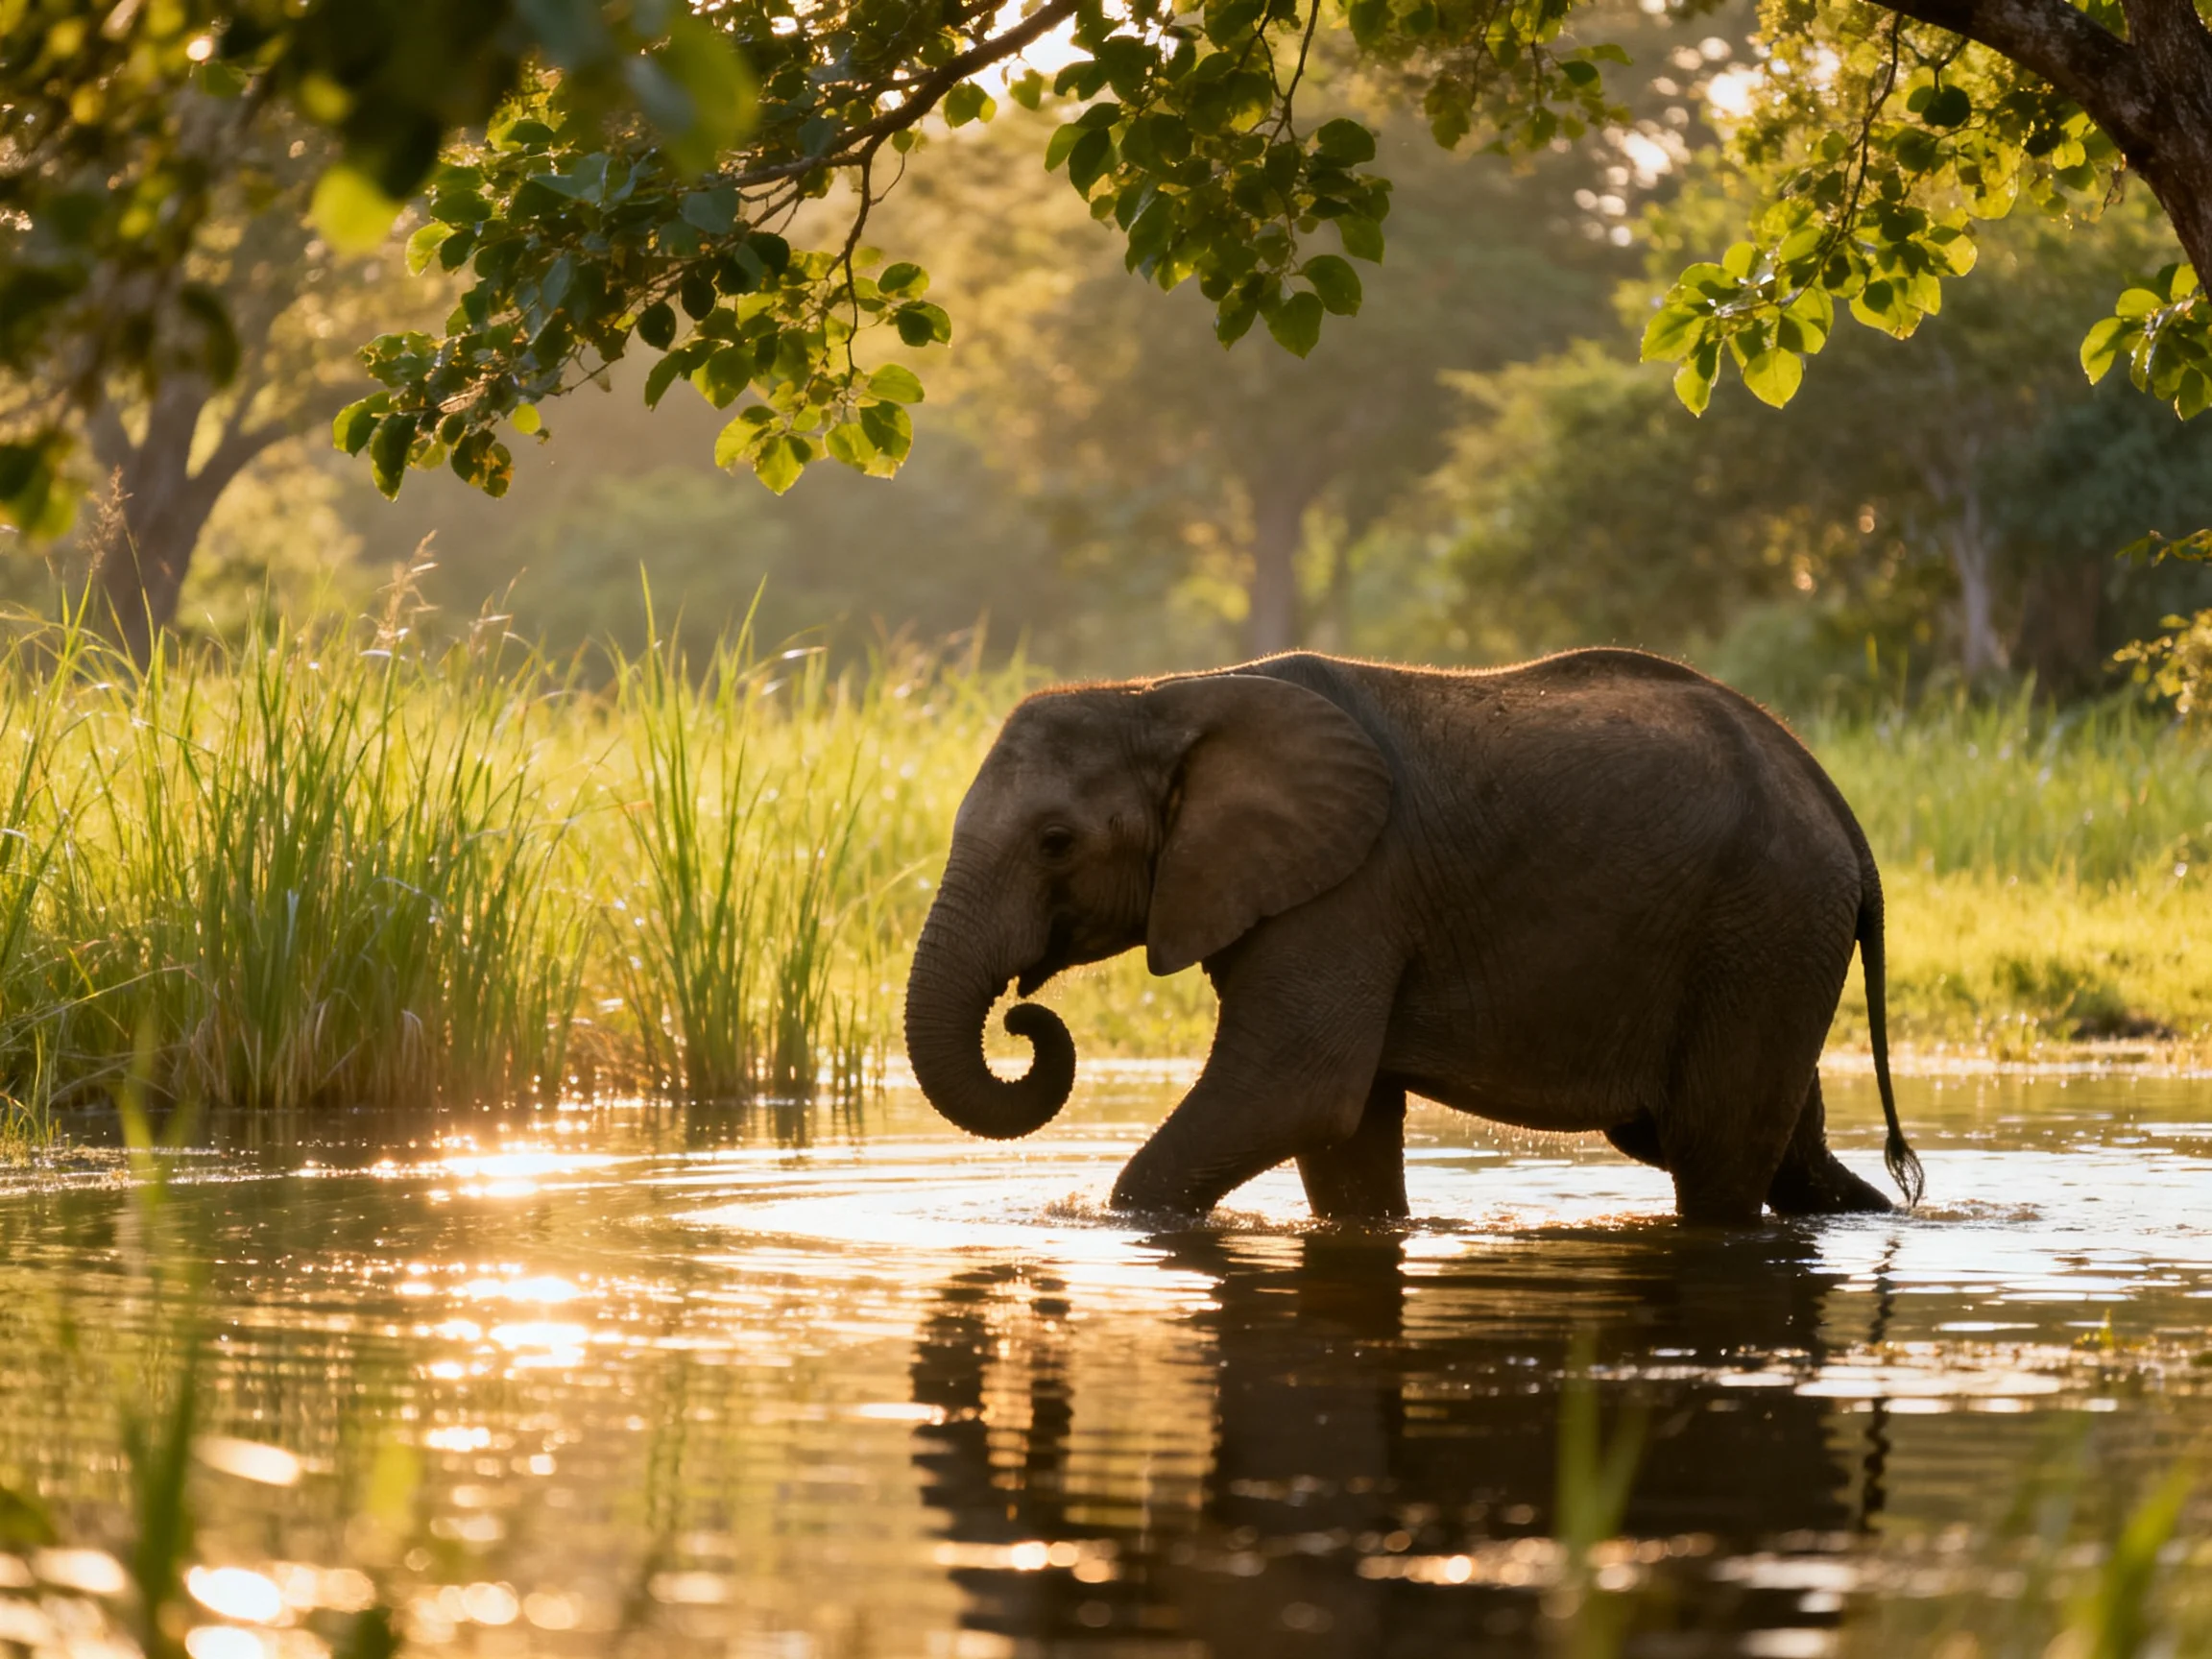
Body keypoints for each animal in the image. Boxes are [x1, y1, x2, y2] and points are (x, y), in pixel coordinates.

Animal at [902, 648, 1922, 1225]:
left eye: (1055, 842)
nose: (1024, 1020)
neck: (1165, 695)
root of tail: (1840, 809)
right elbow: (1343, 1133)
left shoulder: (1354, 887)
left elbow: (1293, 1092)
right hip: (1771, 942)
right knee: (1768, 1148)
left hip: (1765, 925)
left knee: (1713, 1151)